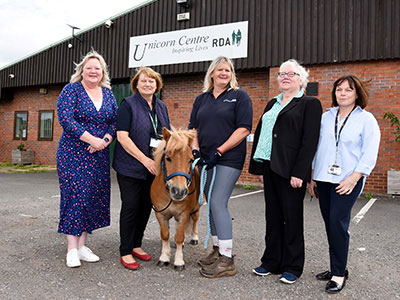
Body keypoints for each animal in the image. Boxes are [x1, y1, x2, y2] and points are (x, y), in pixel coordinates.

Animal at [150, 127, 202, 270]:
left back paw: (194, 238)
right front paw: (164, 257)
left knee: (195, 220)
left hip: (196, 208)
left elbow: (179, 236)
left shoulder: (184, 214)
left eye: (190, 159)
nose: (179, 191)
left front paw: (179, 261)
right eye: (168, 158)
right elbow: (165, 235)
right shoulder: (161, 214)